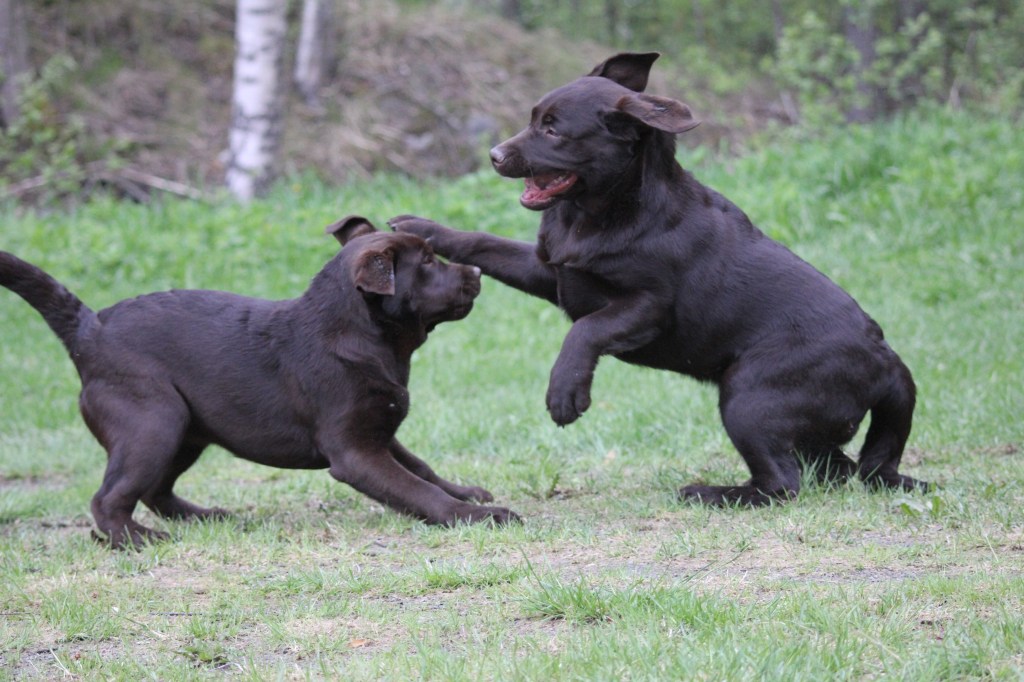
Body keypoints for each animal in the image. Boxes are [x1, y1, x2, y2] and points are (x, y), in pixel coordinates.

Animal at [0, 216, 518, 548]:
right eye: (427, 262)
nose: (476, 271)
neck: (360, 335)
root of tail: (89, 330)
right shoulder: (354, 450)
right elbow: (416, 490)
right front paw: (477, 517)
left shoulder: (380, 431)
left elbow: (423, 470)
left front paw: (467, 493)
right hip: (154, 422)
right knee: (108, 500)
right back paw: (137, 540)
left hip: (186, 430)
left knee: (154, 491)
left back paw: (206, 517)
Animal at [390, 52, 929, 506]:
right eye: (532, 119)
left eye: (554, 130)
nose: (495, 155)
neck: (605, 210)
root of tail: (886, 359)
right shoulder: (550, 271)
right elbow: (487, 243)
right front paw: (422, 228)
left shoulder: (647, 306)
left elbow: (584, 331)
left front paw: (565, 393)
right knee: (831, 470)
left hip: (750, 398)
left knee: (785, 484)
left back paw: (710, 492)